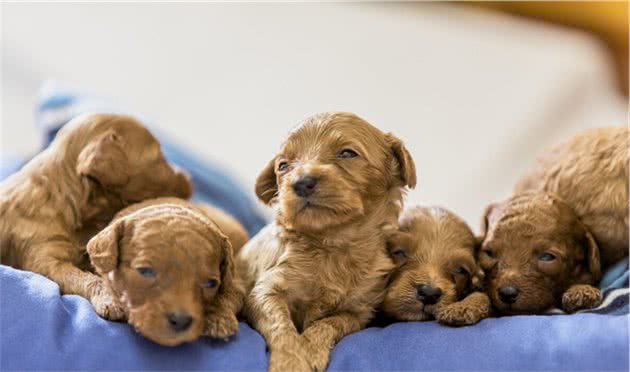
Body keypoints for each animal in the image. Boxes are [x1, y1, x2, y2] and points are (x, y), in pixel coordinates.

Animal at [87, 198, 249, 346]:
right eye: (145, 271)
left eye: (211, 283)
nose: (181, 320)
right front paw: (110, 301)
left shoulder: (237, 282)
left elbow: (229, 295)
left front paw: (219, 318)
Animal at [239, 112, 418, 370]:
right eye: (283, 166)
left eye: (347, 153)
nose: (300, 182)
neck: (333, 244)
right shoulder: (265, 290)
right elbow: (280, 323)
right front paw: (291, 362)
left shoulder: (359, 311)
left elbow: (329, 323)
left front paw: (311, 350)